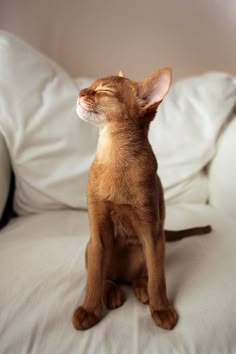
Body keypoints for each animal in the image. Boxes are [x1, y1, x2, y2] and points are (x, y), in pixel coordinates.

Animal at [72, 68, 212, 330]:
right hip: (91, 247)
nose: (81, 91)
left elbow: (158, 278)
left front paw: (162, 309)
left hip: (149, 248)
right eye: (91, 86)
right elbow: (94, 277)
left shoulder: (152, 233)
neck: (115, 157)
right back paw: (112, 292)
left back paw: (142, 290)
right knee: (105, 277)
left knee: (144, 275)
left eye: (104, 89)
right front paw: (89, 310)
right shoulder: (97, 231)